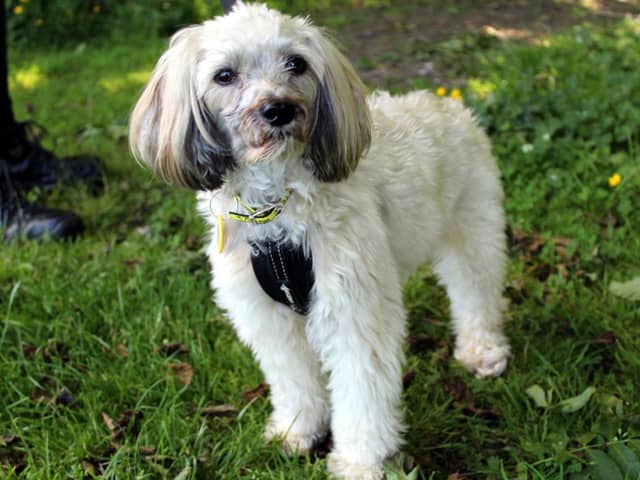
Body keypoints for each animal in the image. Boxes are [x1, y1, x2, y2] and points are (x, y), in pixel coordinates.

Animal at [129, 1, 510, 478]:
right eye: (224, 75)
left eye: (296, 64)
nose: (278, 109)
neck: (275, 209)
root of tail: (447, 104)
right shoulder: (267, 317)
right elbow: (294, 378)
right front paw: (298, 429)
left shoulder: (353, 310)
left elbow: (363, 392)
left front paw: (360, 462)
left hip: (473, 229)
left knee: (476, 293)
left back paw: (482, 350)